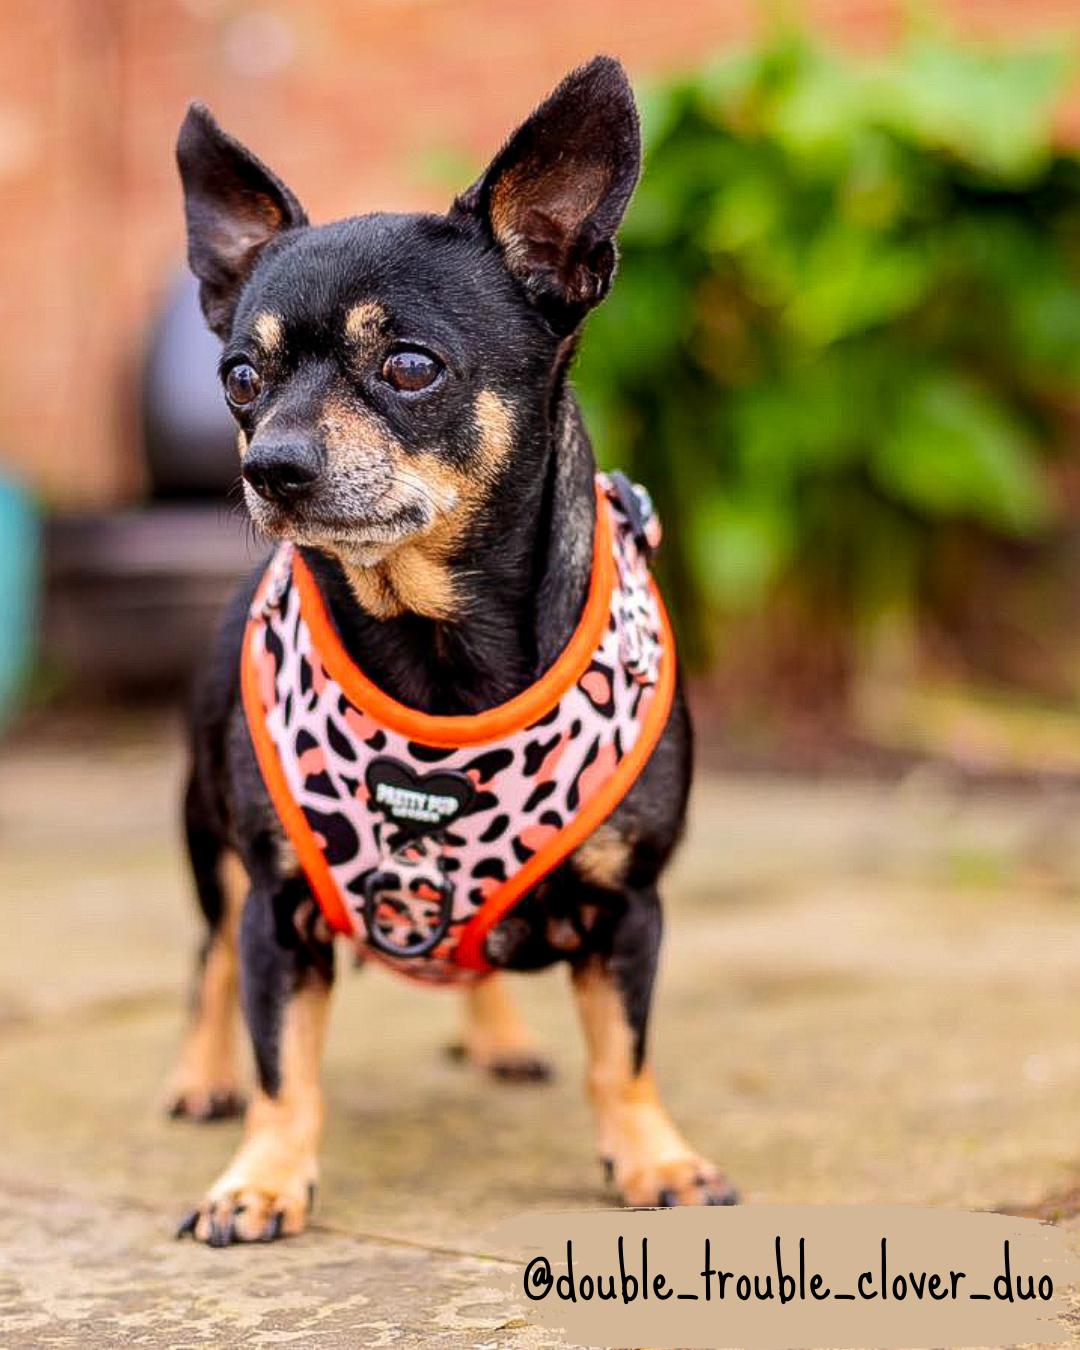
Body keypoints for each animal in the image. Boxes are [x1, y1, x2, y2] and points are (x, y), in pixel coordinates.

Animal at [170, 58, 745, 1247]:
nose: (268, 466)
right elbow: (283, 1065)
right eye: (241, 378)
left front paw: (655, 1161)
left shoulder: (630, 908)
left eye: (408, 365)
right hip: (207, 842)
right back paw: (201, 1077)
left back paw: (497, 1034)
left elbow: (624, 1055)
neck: (437, 647)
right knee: (206, 959)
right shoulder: (276, 910)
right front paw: (262, 1179)